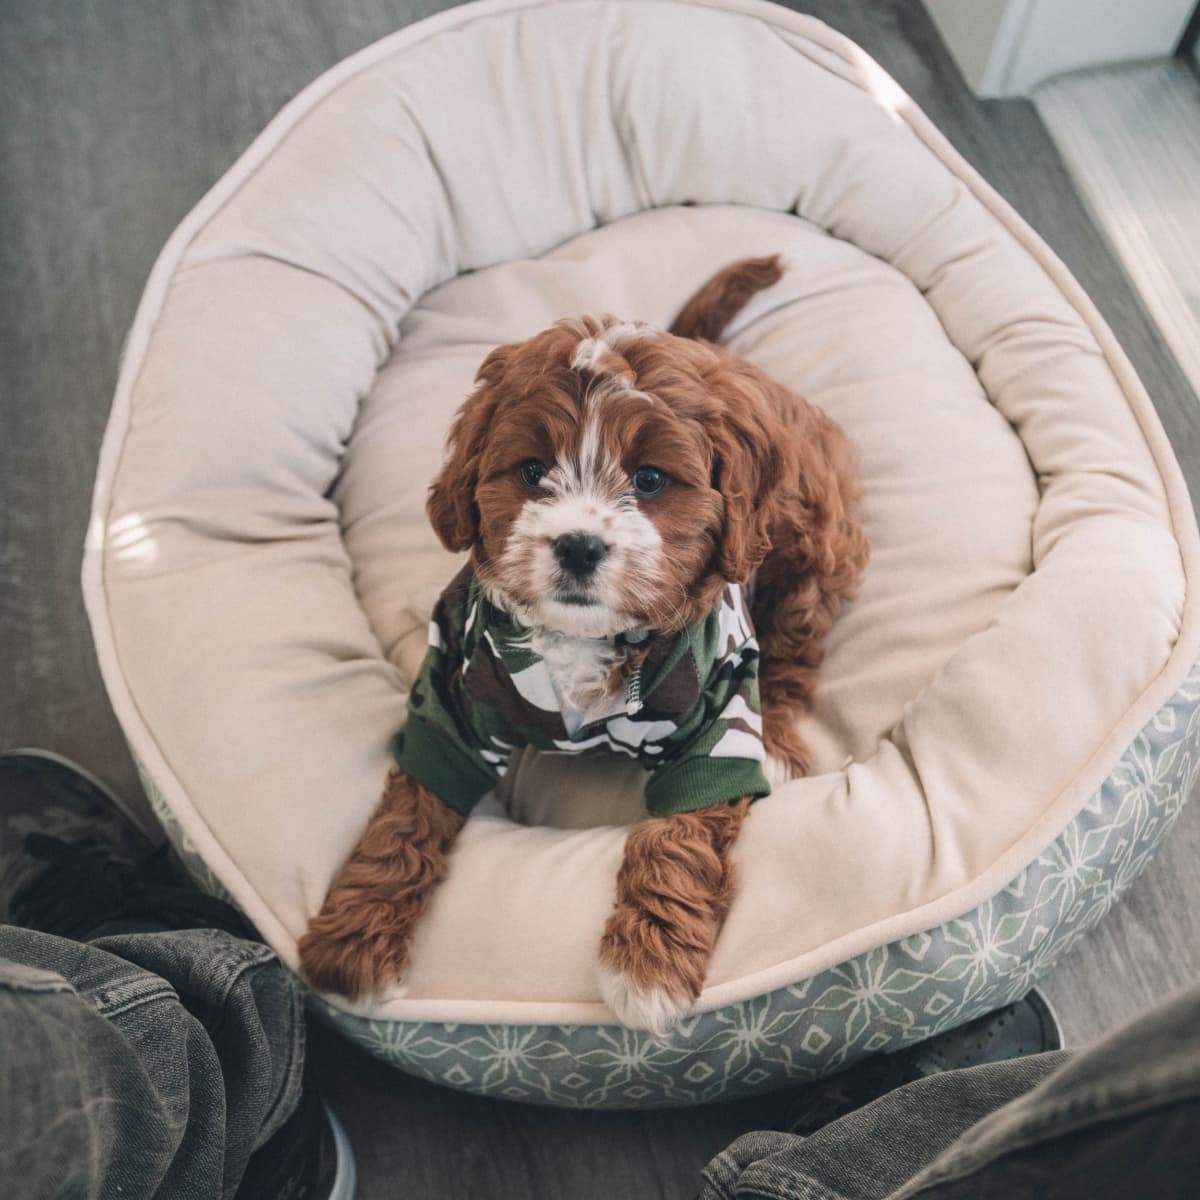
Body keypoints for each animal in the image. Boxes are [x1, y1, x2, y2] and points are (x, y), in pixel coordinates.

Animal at [296, 258, 868, 1036]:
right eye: (533, 470)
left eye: (651, 479)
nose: (577, 544)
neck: (583, 639)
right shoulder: (453, 700)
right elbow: (409, 813)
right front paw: (355, 939)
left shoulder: (715, 720)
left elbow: (679, 833)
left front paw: (649, 965)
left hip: (811, 544)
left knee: (793, 649)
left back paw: (777, 737)